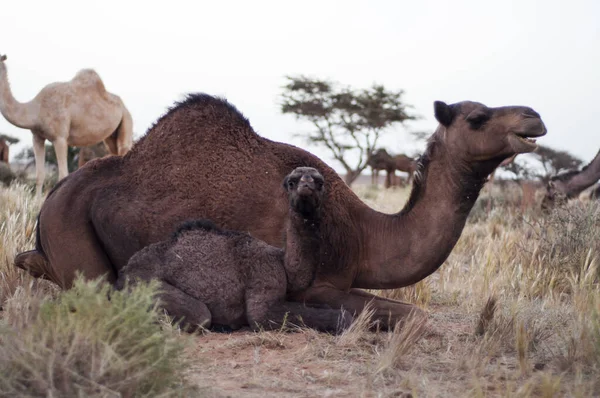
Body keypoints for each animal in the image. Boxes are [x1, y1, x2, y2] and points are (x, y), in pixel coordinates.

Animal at [0, 55, 134, 198]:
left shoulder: (60, 138)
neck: (36, 109)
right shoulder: (37, 137)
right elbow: (39, 175)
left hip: (126, 120)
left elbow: (63, 175)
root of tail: (124, 106)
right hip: (111, 137)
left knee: (124, 149)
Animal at [115, 168, 354, 332]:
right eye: (292, 182)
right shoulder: (263, 282)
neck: (283, 265)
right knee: (200, 315)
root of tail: (124, 271)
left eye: (319, 182)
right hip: (143, 284)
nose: (306, 186)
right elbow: (259, 316)